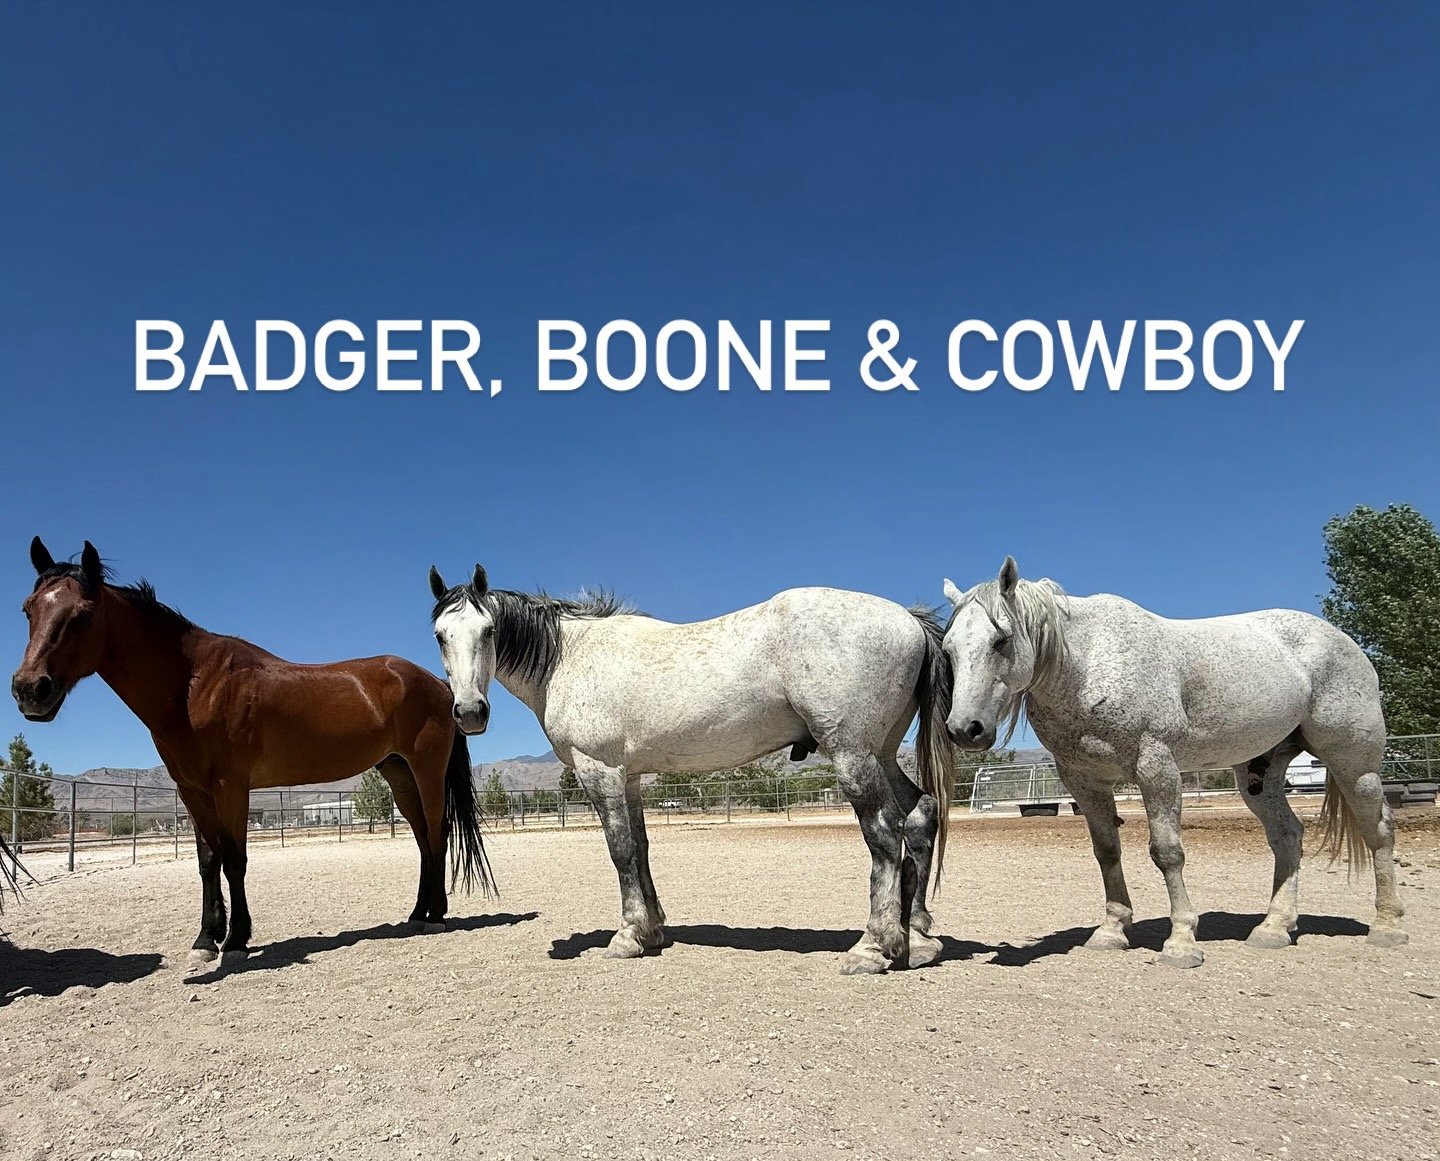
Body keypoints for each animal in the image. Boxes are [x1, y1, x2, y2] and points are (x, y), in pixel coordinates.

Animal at [11, 538, 492, 963]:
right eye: (29, 609)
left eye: (83, 614)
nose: (30, 690)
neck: (194, 683)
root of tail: (441, 685)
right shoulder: (192, 791)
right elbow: (208, 861)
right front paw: (206, 939)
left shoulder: (231, 787)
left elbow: (235, 861)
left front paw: (238, 940)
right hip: (398, 773)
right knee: (422, 838)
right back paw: (416, 913)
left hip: (426, 770)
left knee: (438, 831)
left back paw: (436, 915)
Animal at [426, 564, 956, 974]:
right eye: (440, 636)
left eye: (488, 631)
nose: (470, 712)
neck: (568, 657)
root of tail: (908, 620)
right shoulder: (630, 777)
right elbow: (640, 849)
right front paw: (653, 931)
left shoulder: (601, 771)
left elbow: (620, 852)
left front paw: (627, 938)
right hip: (881, 754)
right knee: (920, 815)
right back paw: (918, 939)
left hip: (852, 755)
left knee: (884, 835)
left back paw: (874, 947)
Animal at [940, 556, 1406, 967]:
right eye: (948, 650)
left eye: (1000, 640)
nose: (966, 729)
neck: (1087, 664)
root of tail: (1343, 641)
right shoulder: (1083, 780)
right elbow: (1106, 851)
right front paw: (1112, 931)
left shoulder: (1156, 768)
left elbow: (1167, 853)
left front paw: (1182, 943)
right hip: (1260, 773)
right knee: (1287, 836)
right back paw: (1274, 928)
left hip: (1354, 765)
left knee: (1378, 831)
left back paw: (1387, 927)